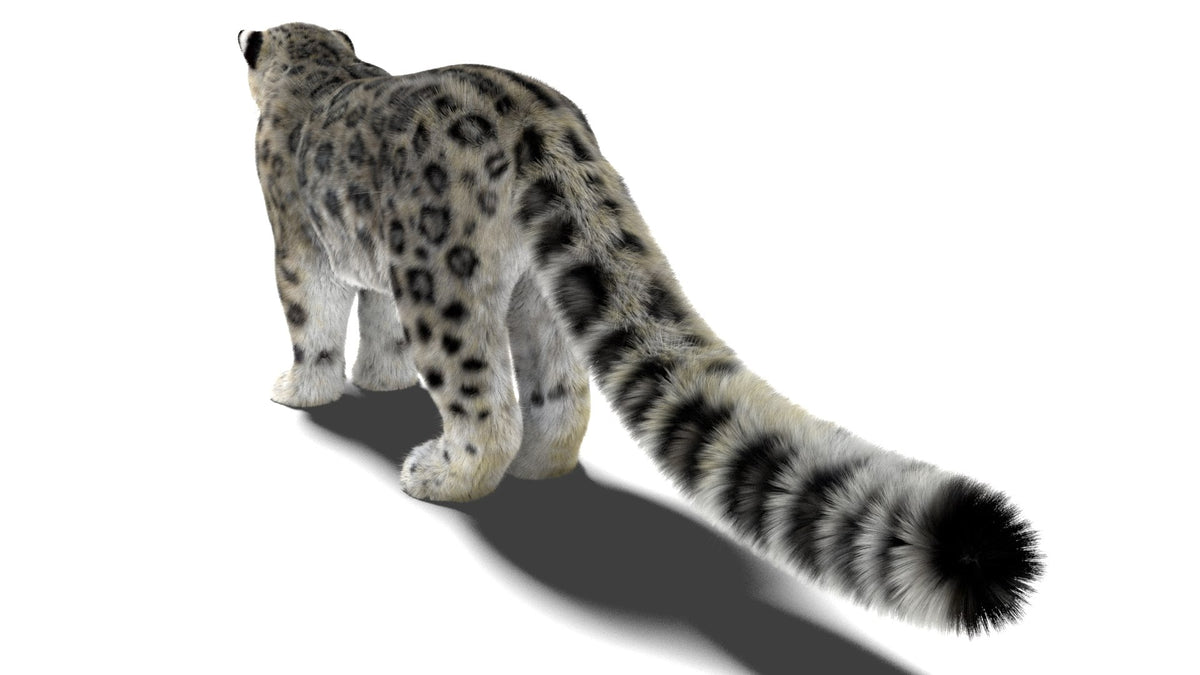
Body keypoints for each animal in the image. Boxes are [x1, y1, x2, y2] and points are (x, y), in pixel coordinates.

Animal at [239, 23, 1042, 635]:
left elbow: (311, 315)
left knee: (484, 397)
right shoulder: (370, 261)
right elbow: (376, 320)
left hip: (442, 278)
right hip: (536, 289)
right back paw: (541, 465)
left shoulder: (297, 244)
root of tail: (541, 116)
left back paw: (442, 474)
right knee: (561, 389)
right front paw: (378, 376)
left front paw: (299, 387)